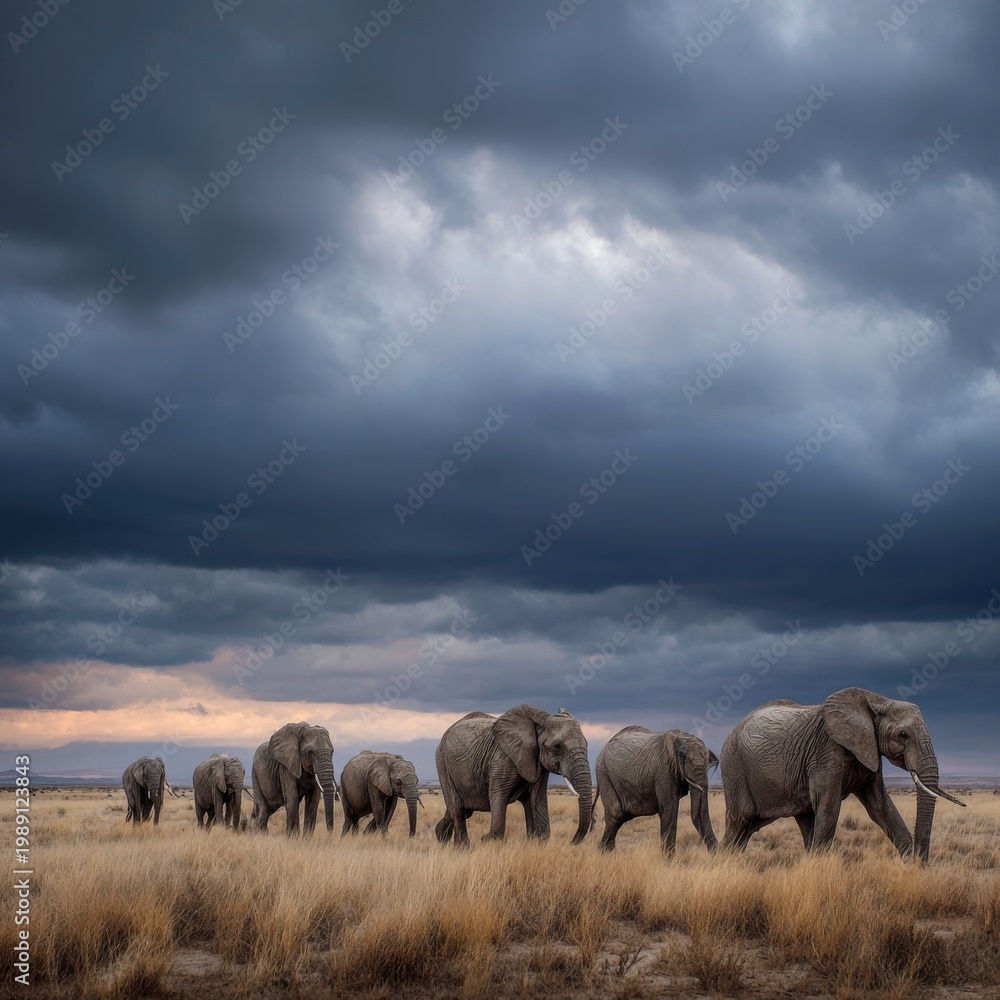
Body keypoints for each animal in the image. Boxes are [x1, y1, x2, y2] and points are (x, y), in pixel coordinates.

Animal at [434, 705, 593, 846]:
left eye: (586, 745)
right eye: (557, 747)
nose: (572, 842)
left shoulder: (538, 764)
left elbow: (538, 798)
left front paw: (535, 842)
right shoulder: (502, 759)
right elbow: (498, 795)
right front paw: (488, 840)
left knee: (464, 809)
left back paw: (442, 837)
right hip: (443, 764)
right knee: (457, 807)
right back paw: (461, 847)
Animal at [721, 687, 966, 861]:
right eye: (903, 735)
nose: (919, 860)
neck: (877, 701)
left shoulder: (868, 751)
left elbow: (881, 807)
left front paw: (911, 868)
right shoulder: (825, 753)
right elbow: (829, 807)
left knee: (794, 821)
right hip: (734, 764)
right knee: (740, 820)